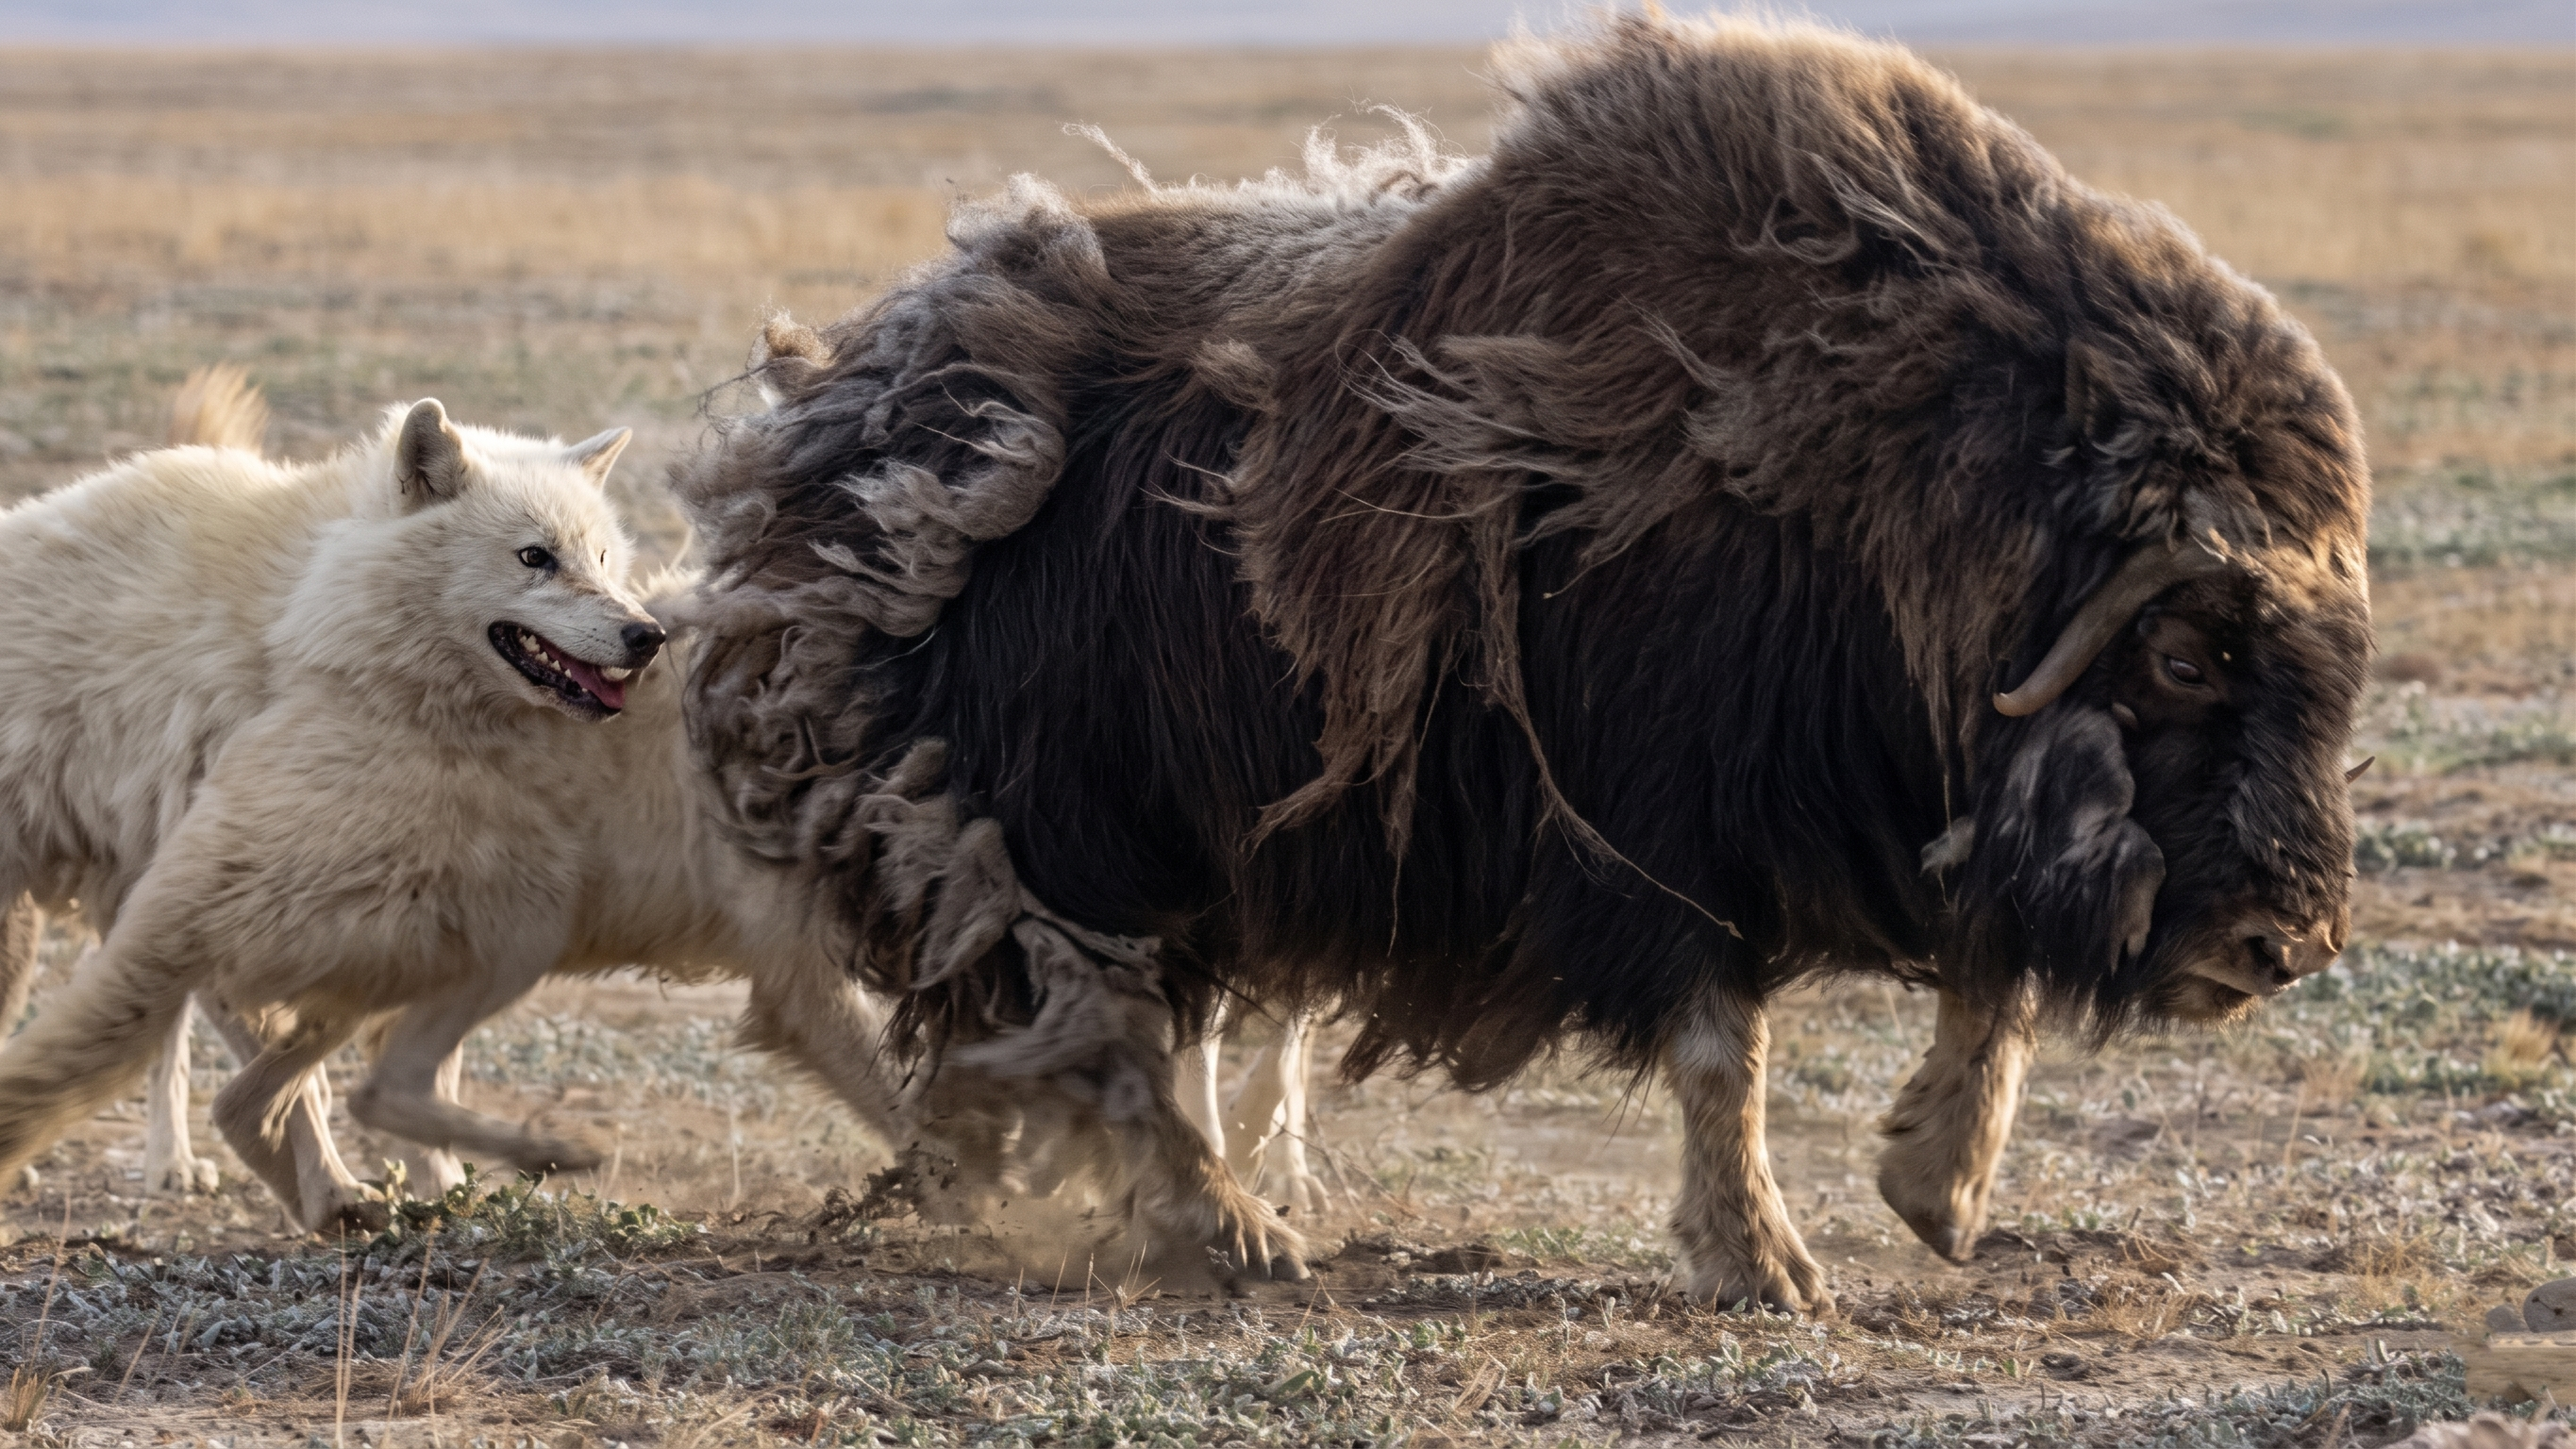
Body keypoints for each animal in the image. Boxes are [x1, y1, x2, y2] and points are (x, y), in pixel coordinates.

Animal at [0, 376, 902, 1229]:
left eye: (603, 556)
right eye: (535, 557)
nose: (648, 636)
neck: (316, 617)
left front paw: (437, 1187)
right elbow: (297, 1079)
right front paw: (333, 1191)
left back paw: (183, 1160)